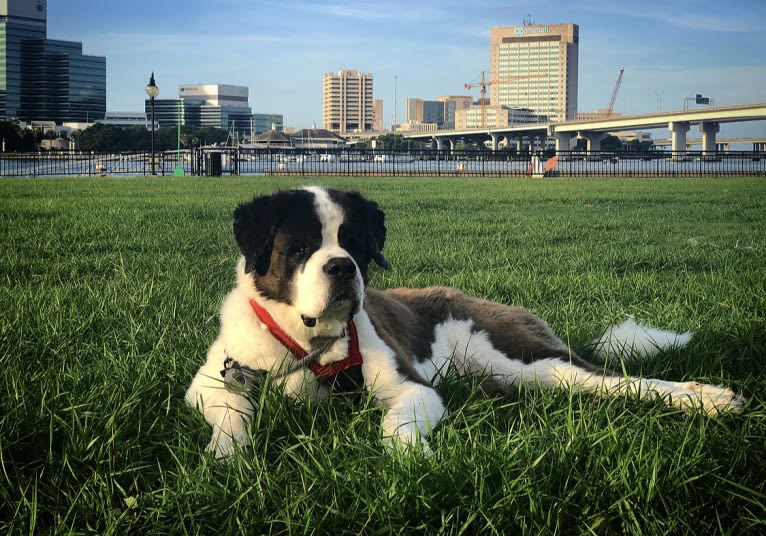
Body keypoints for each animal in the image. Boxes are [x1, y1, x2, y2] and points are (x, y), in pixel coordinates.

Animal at [183, 186, 748, 458]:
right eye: (300, 248)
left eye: (354, 244)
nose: (341, 267)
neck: (308, 343)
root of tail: (473, 298)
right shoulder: (212, 381)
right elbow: (231, 411)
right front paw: (226, 455)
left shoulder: (411, 387)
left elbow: (397, 423)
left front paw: (410, 461)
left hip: (523, 358)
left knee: (614, 381)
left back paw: (709, 399)